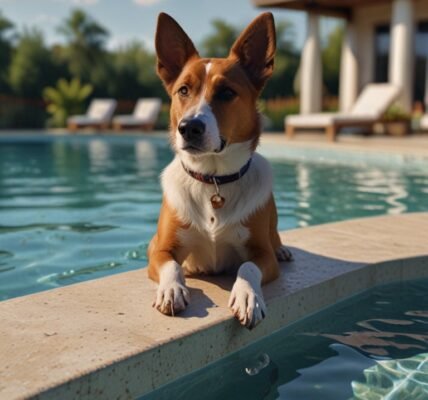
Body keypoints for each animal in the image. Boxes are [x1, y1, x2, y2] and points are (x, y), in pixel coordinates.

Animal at [147, 12, 290, 330]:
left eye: (226, 92)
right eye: (183, 90)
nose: (189, 128)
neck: (213, 179)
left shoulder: (262, 255)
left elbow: (248, 266)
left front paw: (248, 296)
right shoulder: (160, 249)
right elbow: (171, 264)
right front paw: (171, 289)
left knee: (274, 240)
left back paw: (282, 249)